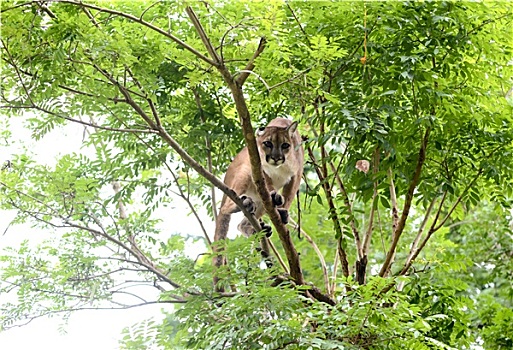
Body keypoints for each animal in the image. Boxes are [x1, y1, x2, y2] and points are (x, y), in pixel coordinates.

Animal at [213, 117, 302, 268]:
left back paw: (259, 227)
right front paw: (274, 197)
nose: (276, 157)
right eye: (267, 143)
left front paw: (282, 211)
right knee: (225, 207)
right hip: (244, 172)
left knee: (241, 223)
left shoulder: (297, 174)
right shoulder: (257, 166)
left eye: (285, 145)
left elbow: (288, 196)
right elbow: (267, 184)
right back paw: (242, 204)